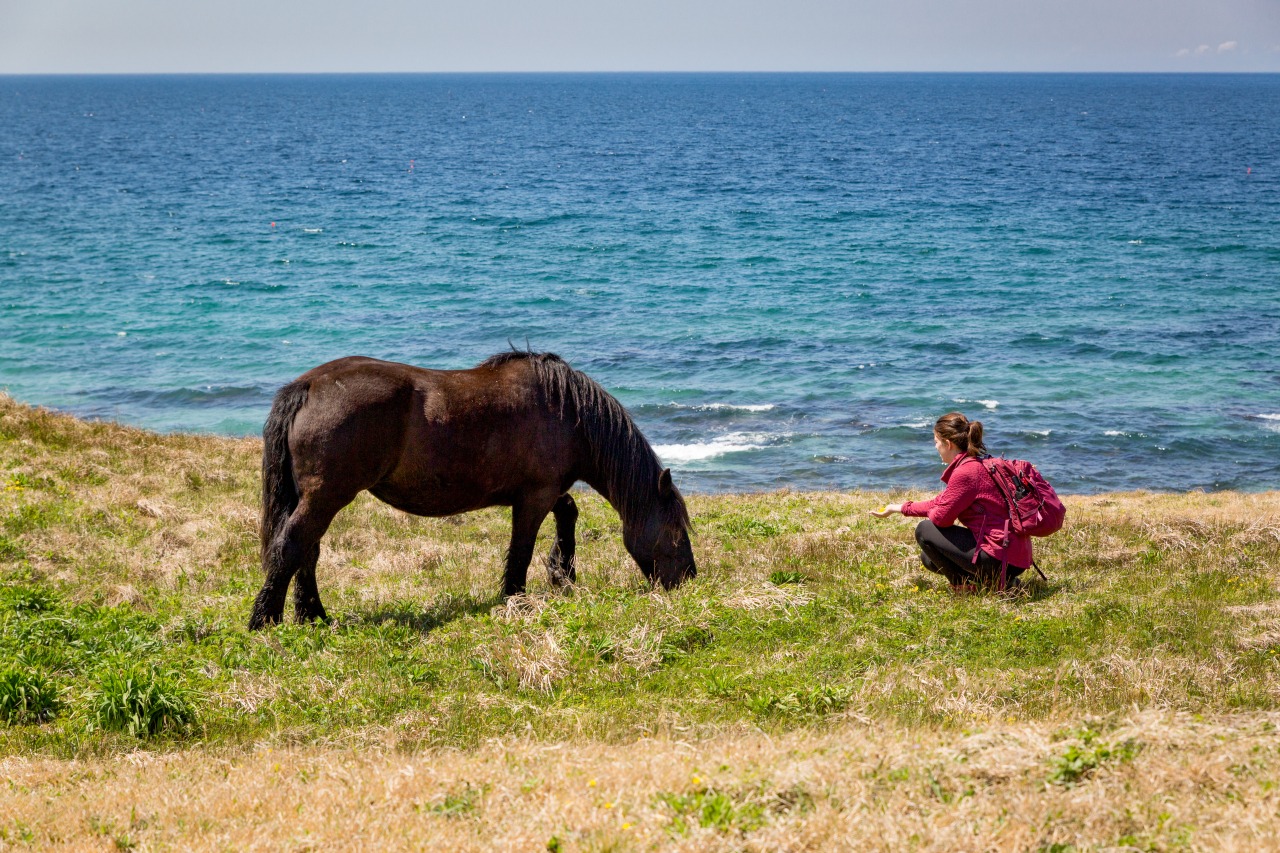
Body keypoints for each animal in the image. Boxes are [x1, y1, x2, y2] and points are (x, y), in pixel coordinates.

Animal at [249, 351, 696, 629]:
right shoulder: (534, 496)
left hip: (315, 499)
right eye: (675, 533)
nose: (688, 581)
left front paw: (561, 573)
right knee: (292, 545)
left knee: (307, 551)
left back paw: (312, 616)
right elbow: (521, 550)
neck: (568, 413)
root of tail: (308, 386)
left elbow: (568, 512)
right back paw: (264, 621)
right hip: (325, 497)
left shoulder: (546, 491)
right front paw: (516, 598)